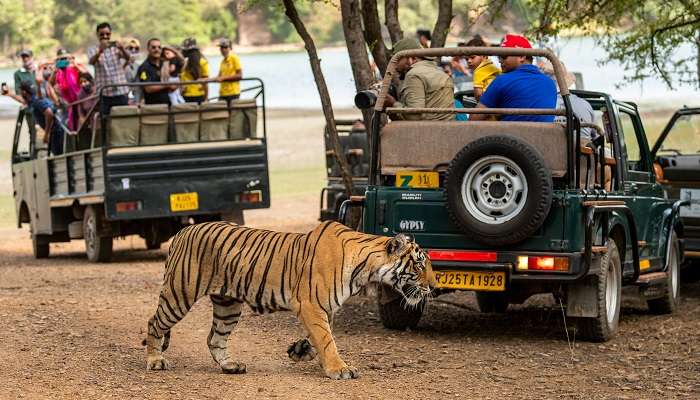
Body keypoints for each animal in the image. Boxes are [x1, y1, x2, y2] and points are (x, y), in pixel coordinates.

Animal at [145, 220, 434, 380]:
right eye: (419, 265)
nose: (433, 286)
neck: (366, 268)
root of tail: (183, 231)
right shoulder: (311, 305)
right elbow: (327, 340)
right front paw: (339, 369)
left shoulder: (325, 308)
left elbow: (320, 337)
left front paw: (300, 350)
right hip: (179, 294)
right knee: (154, 323)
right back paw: (155, 361)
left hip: (228, 305)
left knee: (214, 338)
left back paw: (230, 366)